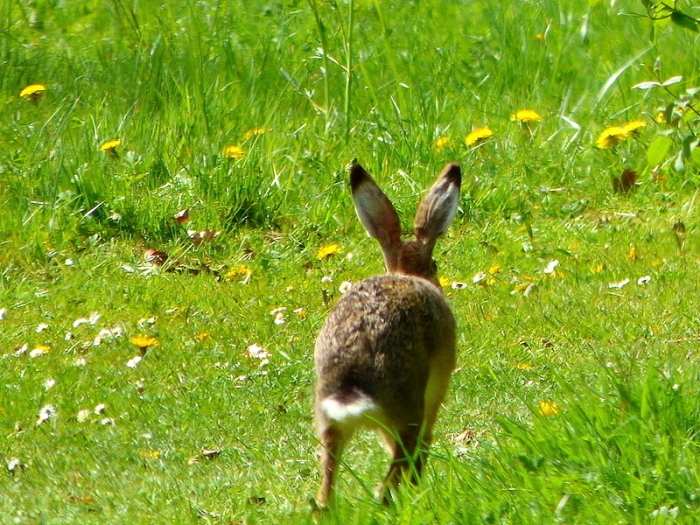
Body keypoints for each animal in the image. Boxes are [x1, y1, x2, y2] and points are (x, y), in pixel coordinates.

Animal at [314, 161, 461, 507]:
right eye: (435, 264)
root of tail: (354, 378)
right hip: (407, 403)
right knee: (398, 464)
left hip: (328, 418)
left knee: (326, 487)